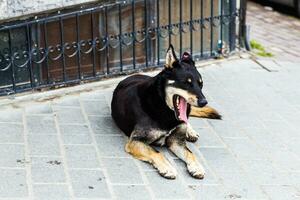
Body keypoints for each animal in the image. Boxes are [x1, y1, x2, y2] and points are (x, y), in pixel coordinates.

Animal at [110, 44, 220, 179]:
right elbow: (156, 152)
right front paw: (167, 167)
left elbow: (190, 153)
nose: (204, 102)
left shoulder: (176, 142)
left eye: (201, 84)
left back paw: (190, 131)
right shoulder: (136, 141)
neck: (164, 106)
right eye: (186, 83)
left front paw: (196, 166)